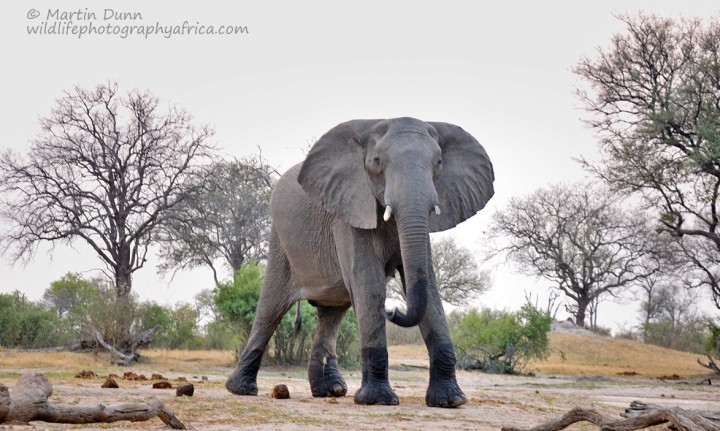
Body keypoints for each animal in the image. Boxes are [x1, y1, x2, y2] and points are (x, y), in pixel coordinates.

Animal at [225, 117, 496, 408]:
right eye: (377, 162)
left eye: (438, 163)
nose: (393, 310)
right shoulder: (349, 210)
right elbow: (369, 284)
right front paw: (378, 400)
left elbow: (430, 290)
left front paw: (451, 401)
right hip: (280, 244)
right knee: (270, 309)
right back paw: (241, 389)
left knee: (331, 315)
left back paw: (329, 391)